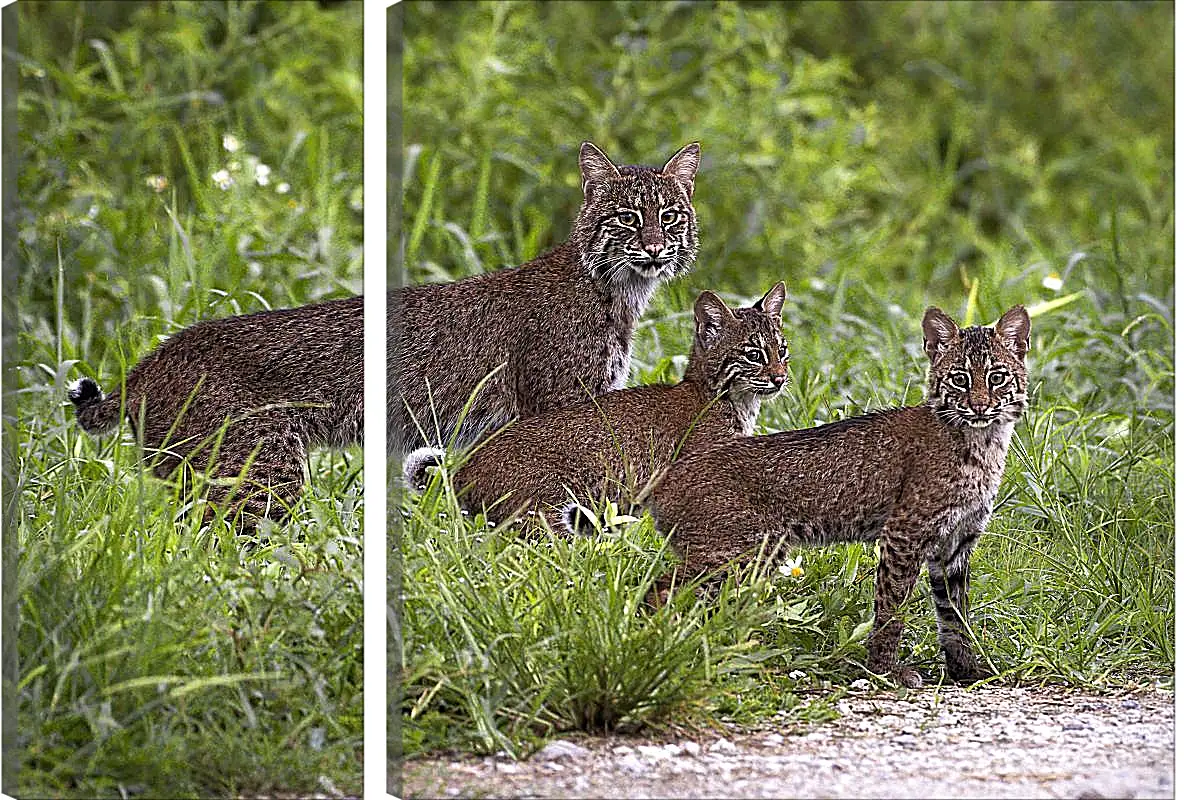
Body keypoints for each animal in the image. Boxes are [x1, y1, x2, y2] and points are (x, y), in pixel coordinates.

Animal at [402, 282, 790, 530]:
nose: (780, 378)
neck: (733, 400)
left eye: (782, 351)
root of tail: (464, 464)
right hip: (546, 508)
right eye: (754, 355)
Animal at [648, 305, 1027, 686]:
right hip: (736, 553)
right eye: (959, 379)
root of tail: (668, 477)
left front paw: (967, 671)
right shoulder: (904, 533)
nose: (979, 407)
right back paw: (667, 649)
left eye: (997, 378)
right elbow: (892, 607)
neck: (984, 440)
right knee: (661, 589)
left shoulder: (957, 542)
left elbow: (954, 616)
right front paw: (885, 670)